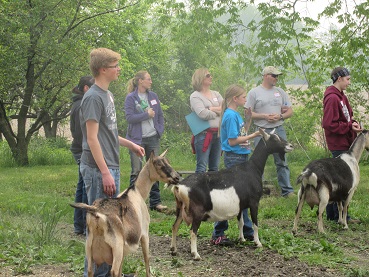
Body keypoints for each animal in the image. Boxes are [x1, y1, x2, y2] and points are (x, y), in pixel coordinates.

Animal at [168, 128, 292, 258]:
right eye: (275, 139)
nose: (290, 146)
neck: (253, 168)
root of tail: (179, 186)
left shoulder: (241, 205)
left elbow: (241, 222)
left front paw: (242, 239)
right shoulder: (254, 202)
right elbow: (255, 223)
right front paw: (258, 243)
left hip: (180, 208)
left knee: (174, 226)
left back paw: (173, 249)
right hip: (197, 212)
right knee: (193, 231)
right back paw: (195, 254)